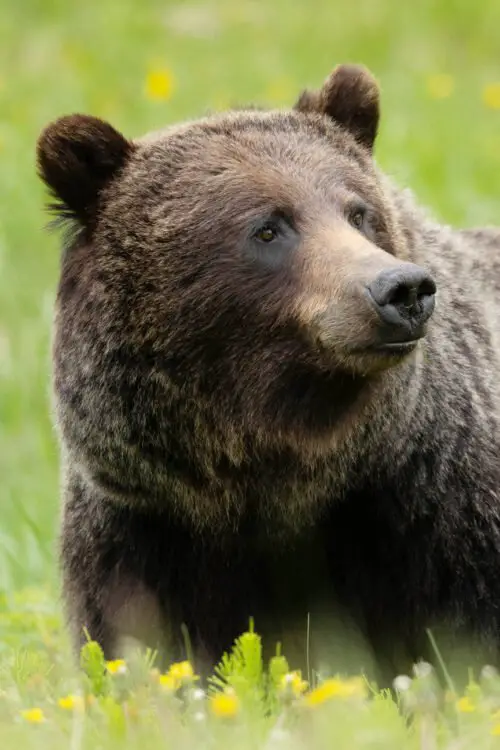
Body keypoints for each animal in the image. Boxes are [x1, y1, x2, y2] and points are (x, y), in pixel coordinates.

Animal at [37, 66, 500, 688]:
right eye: (267, 228)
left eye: (359, 212)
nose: (401, 289)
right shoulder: (147, 536)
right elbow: (149, 651)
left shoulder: (436, 513)